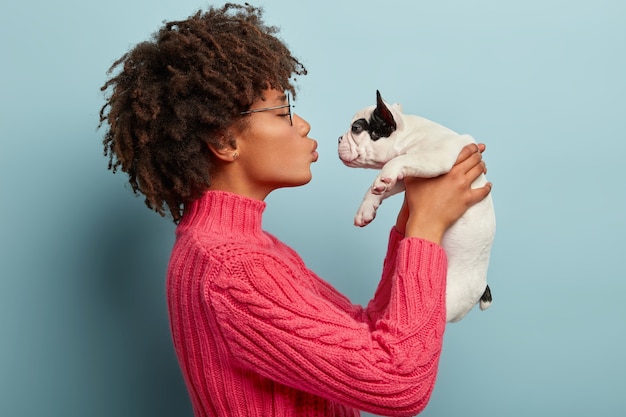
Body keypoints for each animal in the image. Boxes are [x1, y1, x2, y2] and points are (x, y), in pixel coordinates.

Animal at [338, 92, 494, 322]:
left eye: (356, 128)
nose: (339, 139)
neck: (410, 135)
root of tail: (482, 286)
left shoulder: (435, 158)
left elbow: (395, 163)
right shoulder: (404, 179)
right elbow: (378, 189)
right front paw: (366, 209)